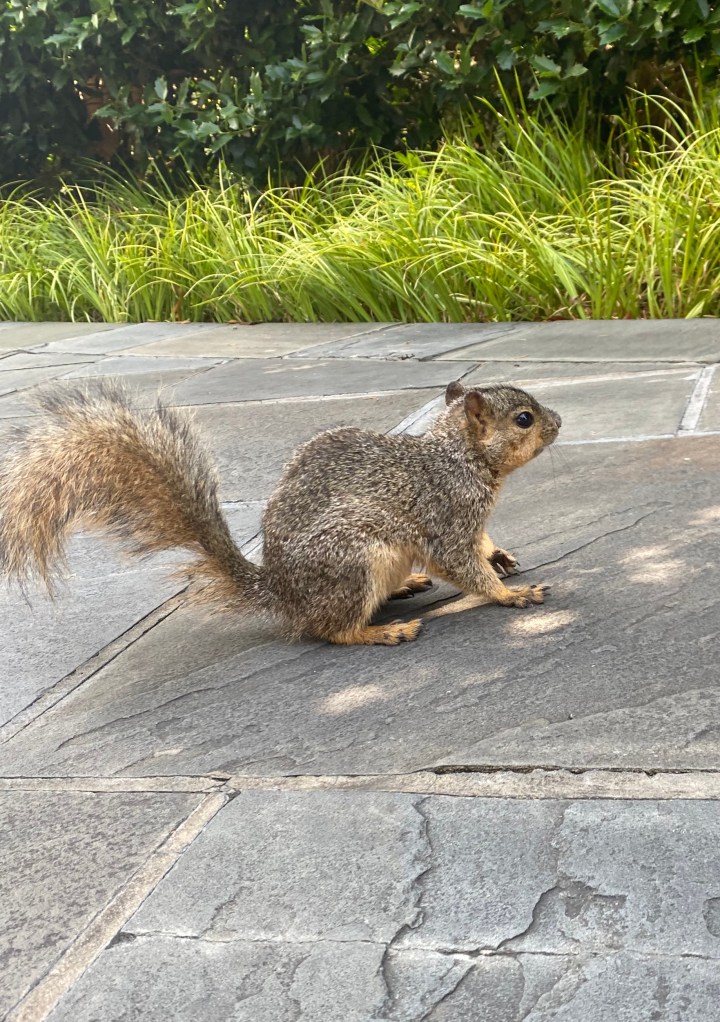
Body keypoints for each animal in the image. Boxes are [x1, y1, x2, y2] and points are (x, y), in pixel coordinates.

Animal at [0, 379, 561, 646]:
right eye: (524, 419)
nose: (558, 421)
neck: (460, 456)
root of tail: (281, 592)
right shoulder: (446, 513)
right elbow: (460, 565)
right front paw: (509, 593)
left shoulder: (473, 521)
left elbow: (483, 546)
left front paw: (501, 557)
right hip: (353, 560)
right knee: (330, 630)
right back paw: (381, 631)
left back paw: (404, 587)